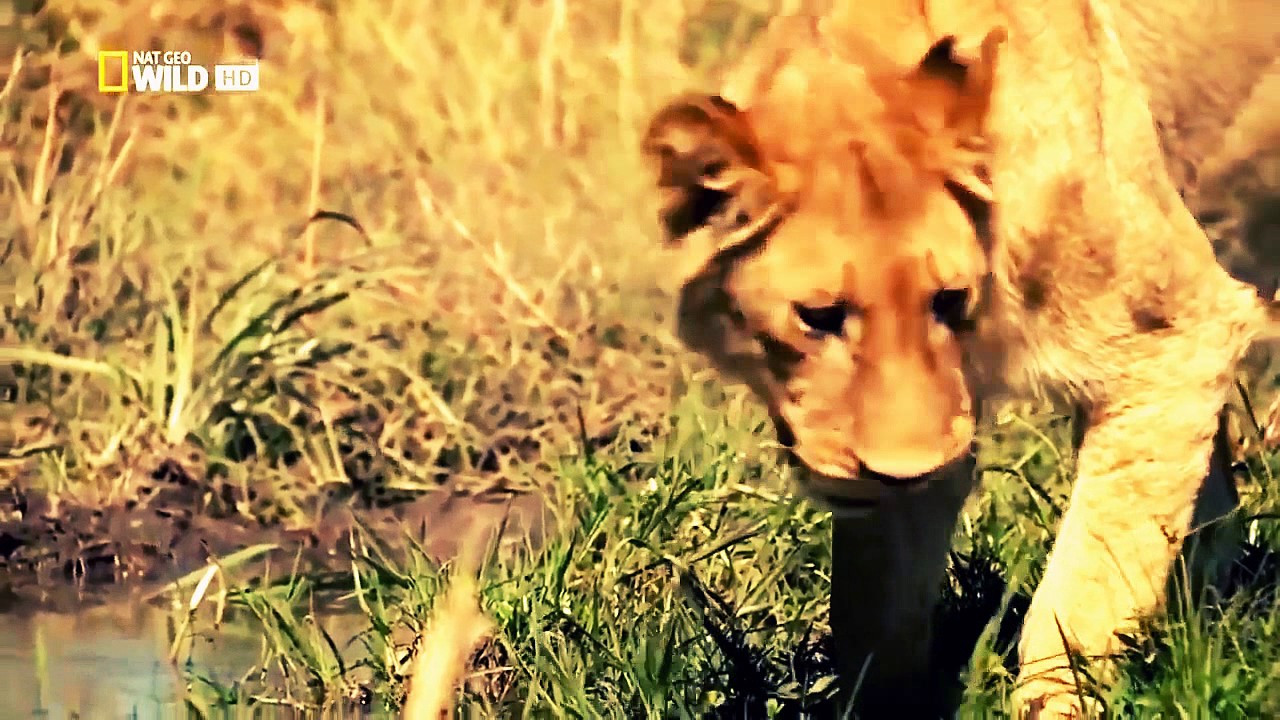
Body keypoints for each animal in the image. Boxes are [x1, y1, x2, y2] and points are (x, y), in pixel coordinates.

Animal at [639, 1, 1279, 717]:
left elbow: (1085, 587)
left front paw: (1058, 700)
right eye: (820, 317)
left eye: (948, 299)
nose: (905, 470)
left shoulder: (1179, 336)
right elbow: (875, 613)